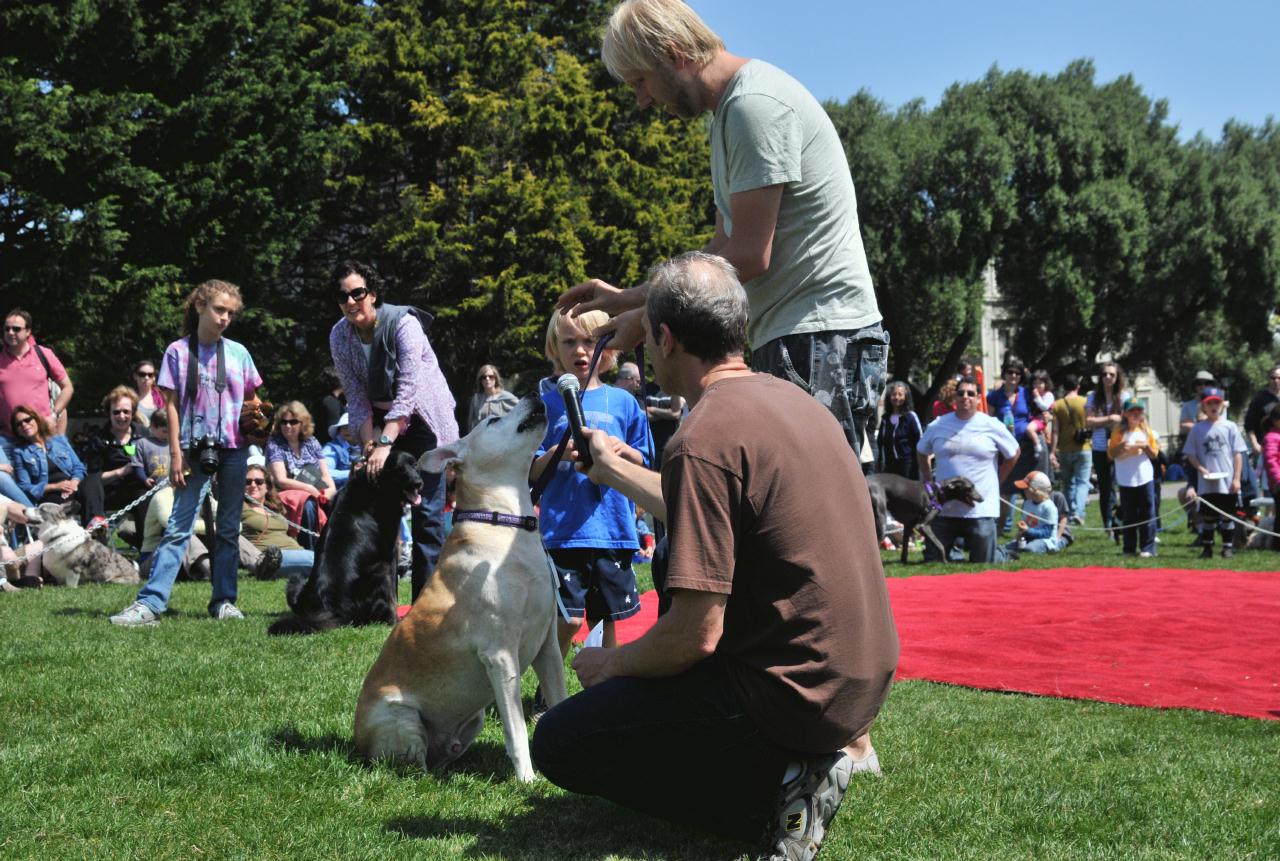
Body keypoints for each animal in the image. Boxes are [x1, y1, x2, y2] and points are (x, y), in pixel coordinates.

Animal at [264, 447, 424, 634]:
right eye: (400, 469)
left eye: (414, 465)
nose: (418, 483)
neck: (376, 485)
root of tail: (327, 608)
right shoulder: (390, 555)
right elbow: (394, 593)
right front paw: (396, 619)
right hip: (378, 571)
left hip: (295, 583)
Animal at [353, 394, 568, 782]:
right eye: (493, 420)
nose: (533, 395)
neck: (505, 525)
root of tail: (357, 743)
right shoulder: (500, 654)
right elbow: (516, 729)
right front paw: (527, 779)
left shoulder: (548, 647)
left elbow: (559, 698)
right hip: (401, 717)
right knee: (411, 765)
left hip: (474, 718)